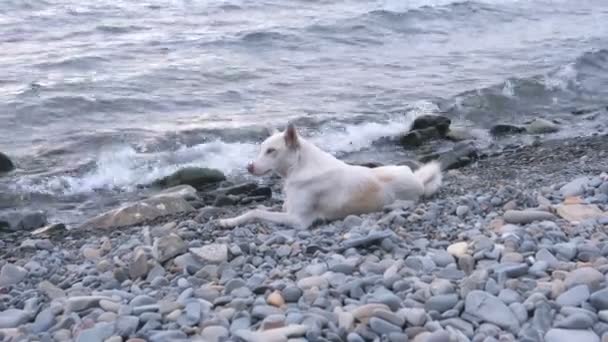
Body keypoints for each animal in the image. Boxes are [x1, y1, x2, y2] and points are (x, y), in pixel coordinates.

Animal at [218, 123, 442, 230]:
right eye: (261, 149)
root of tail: (418, 180)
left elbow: (255, 211)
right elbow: (267, 208)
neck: (299, 166)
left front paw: (229, 221)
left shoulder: (297, 220)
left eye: (271, 151)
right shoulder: (288, 209)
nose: (249, 167)